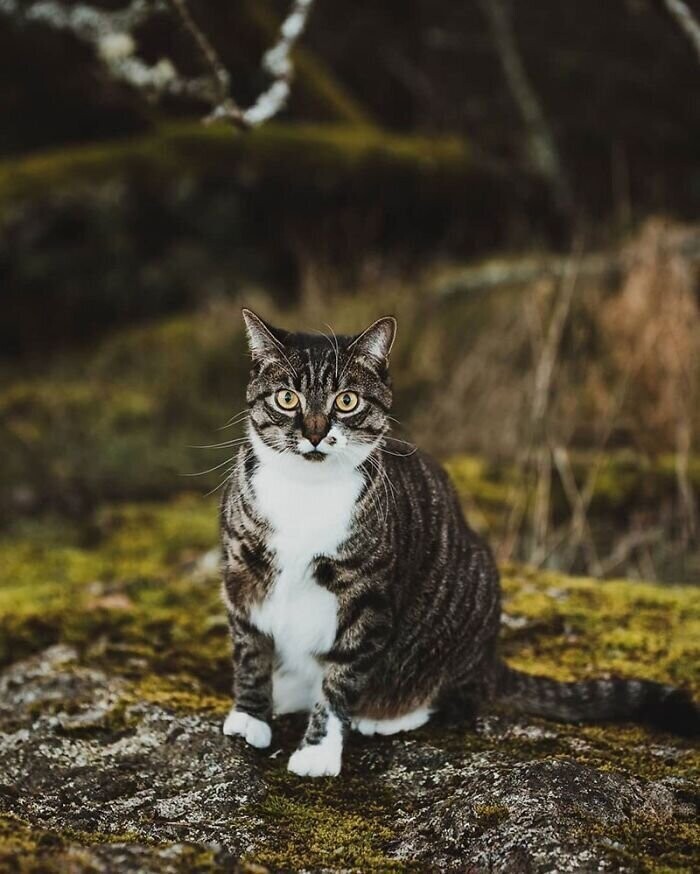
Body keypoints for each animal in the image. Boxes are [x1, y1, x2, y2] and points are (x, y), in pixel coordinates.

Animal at [217, 306, 696, 776]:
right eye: (287, 398)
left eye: (346, 401)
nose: (315, 433)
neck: (305, 492)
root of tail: (488, 658)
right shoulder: (242, 573)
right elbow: (250, 649)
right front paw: (250, 716)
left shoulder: (368, 598)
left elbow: (341, 678)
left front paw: (318, 751)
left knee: (457, 699)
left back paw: (386, 716)